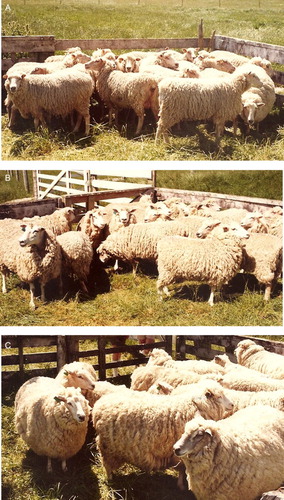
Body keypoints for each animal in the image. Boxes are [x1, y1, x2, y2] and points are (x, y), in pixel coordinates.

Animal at [92, 378, 234, 480]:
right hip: (108, 450)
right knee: (107, 466)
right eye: (219, 396)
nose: (232, 404)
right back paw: (110, 479)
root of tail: (98, 406)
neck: (194, 405)